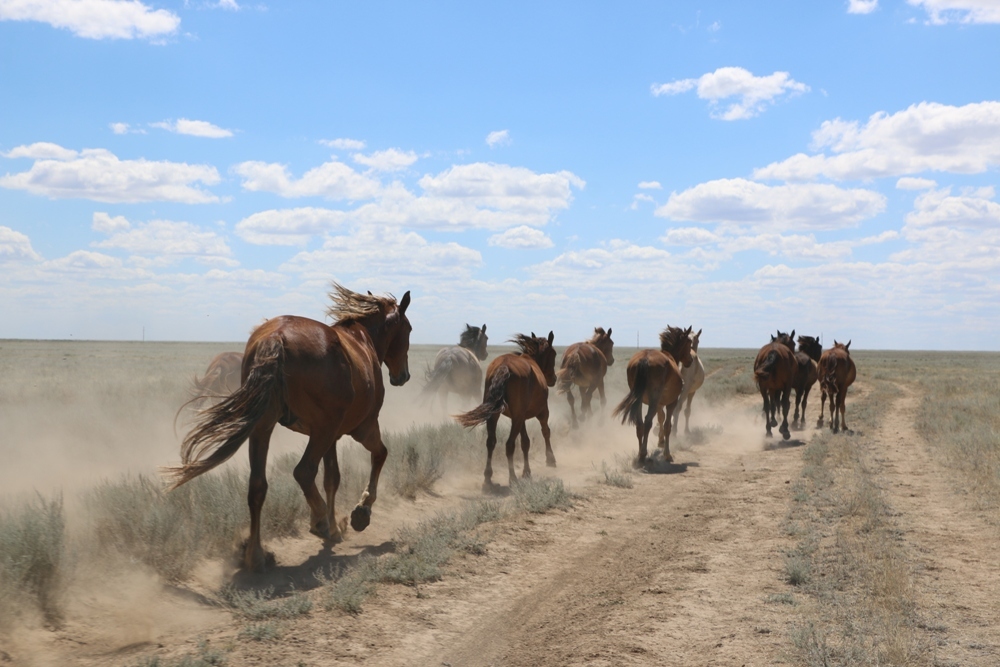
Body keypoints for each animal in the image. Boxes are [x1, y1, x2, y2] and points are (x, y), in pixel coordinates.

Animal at [164, 284, 410, 572]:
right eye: (408, 330)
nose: (403, 376)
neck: (362, 341)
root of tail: (277, 337)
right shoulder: (361, 428)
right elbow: (379, 455)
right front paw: (360, 512)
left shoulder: (332, 436)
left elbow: (332, 478)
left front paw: (337, 526)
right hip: (321, 430)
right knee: (303, 471)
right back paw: (319, 520)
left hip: (264, 428)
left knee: (258, 486)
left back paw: (256, 554)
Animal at [458, 332, 560, 494]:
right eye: (554, 353)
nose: (554, 379)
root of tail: (504, 366)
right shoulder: (542, 412)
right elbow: (545, 432)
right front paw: (550, 459)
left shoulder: (520, 417)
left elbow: (525, 442)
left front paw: (527, 472)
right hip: (518, 417)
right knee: (509, 445)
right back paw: (512, 478)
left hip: (495, 415)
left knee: (491, 442)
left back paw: (488, 479)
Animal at [608, 328, 696, 464]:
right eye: (689, 342)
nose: (690, 360)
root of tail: (645, 359)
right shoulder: (671, 403)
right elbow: (667, 425)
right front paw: (667, 454)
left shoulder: (658, 404)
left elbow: (660, 418)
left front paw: (661, 441)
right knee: (647, 421)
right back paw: (644, 453)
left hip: (638, 401)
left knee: (640, 423)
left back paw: (639, 454)